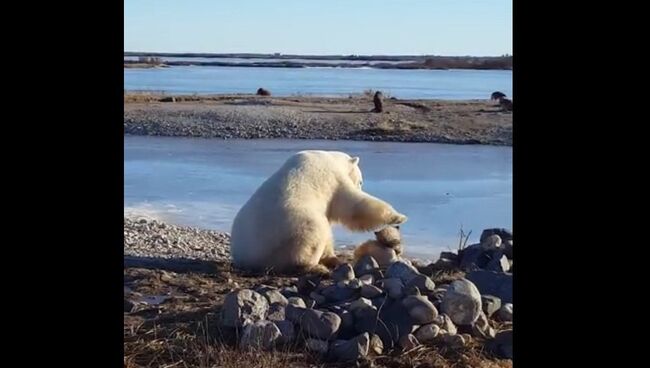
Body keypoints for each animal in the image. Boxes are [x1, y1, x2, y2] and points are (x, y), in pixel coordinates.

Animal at [229, 150, 404, 274]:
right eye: (360, 181)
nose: (360, 185)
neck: (331, 158)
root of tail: (248, 257)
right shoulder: (333, 179)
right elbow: (352, 203)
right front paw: (399, 217)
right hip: (294, 226)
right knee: (314, 233)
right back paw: (315, 267)